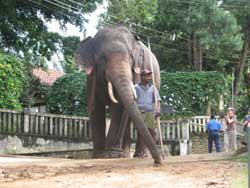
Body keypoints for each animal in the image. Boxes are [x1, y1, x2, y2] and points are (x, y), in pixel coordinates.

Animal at [74, 25, 161, 164]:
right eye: (102, 58)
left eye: (131, 56)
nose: (158, 162)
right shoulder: (91, 77)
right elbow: (94, 107)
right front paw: (99, 155)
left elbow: (119, 108)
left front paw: (110, 154)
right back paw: (125, 153)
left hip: (156, 81)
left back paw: (139, 155)